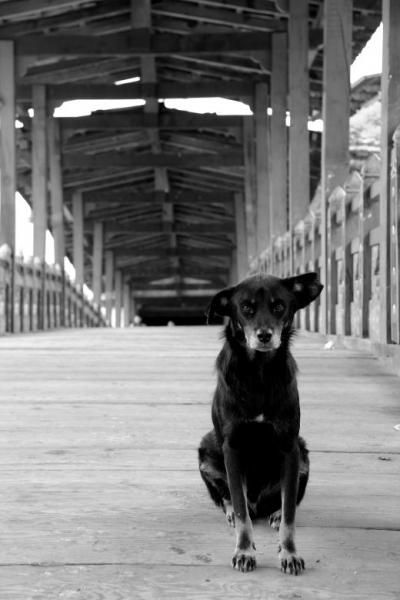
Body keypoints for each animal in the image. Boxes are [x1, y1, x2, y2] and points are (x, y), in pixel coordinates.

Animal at [198, 270, 324, 572]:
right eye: (246, 308)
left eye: (279, 306)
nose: (264, 335)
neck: (259, 372)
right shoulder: (232, 447)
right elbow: (241, 511)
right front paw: (244, 551)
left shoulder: (289, 447)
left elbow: (290, 512)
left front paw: (289, 553)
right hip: (207, 449)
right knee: (231, 498)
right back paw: (231, 511)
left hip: (303, 452)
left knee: (286, 500)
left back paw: (275, 512)